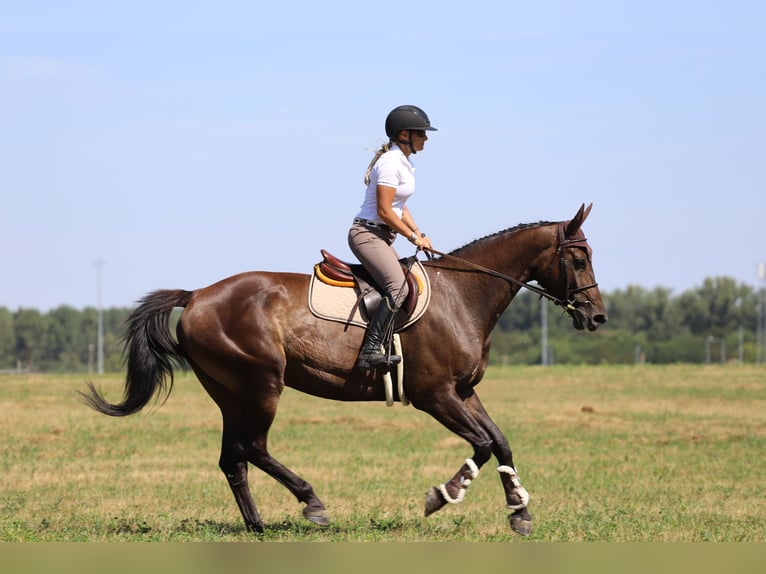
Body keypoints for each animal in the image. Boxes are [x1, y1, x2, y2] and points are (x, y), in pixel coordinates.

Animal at [82, 204, 608, 540]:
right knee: (253, 447)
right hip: (261, 385)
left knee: (233, 458)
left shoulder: (463, 392)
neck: (462, 295)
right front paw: (442, 496)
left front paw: (519, 512)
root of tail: (196, 296)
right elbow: (480, 444)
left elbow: (500, 442)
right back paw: (311, 503)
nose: (597, 317)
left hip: (230, 392)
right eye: (578, 258)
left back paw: (258, 526)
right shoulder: (435, 395)